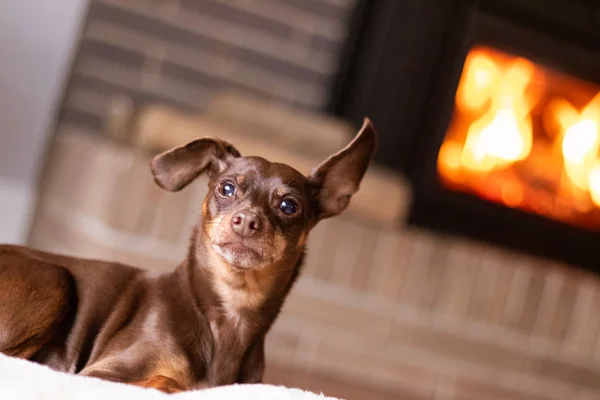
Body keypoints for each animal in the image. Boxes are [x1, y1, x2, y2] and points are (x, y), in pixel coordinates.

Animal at [0, 117, 376, 392]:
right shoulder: (100, 375)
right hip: (55, 278)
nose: (246, 221)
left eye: (289, 206)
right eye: (226, 188)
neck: (230, 314)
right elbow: (168, 381)